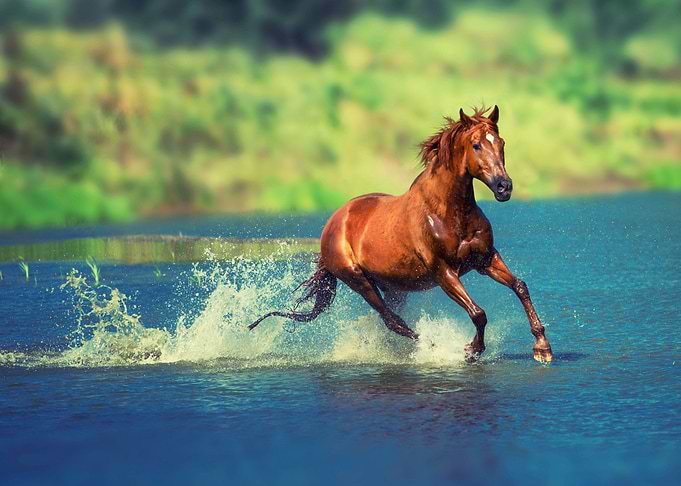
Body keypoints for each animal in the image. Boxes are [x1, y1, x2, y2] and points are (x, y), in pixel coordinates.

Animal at [250, 106, 553, 363]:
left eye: (501, 143)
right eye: (476, 144)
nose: (504, 187)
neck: (448, 212)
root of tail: (332, 224)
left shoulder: (485, 259)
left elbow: (520, 286)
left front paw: (542, 348)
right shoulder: (444, 271)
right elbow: (478, 313)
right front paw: (471, 351)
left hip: (394, 286)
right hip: (358, 280)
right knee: (392, 320)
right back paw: (431, 346)